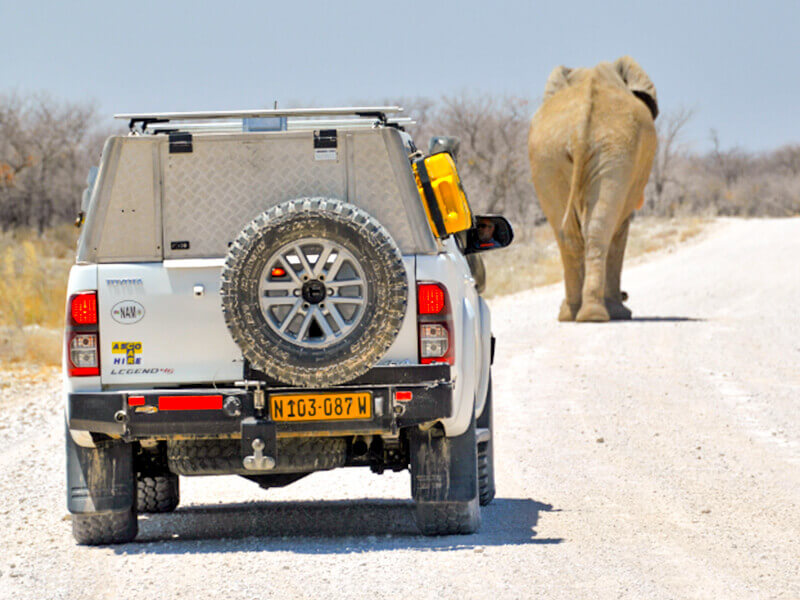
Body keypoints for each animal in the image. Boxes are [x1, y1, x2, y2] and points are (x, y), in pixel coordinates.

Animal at [528, 54, 660, 322]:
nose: (626, 295)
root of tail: (579, 130)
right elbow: (620, 230)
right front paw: (622, 313)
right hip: (613, 152)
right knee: (601, 230)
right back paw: (596, 315)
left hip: (550, 154)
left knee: (568, 235)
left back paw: (572, 314)